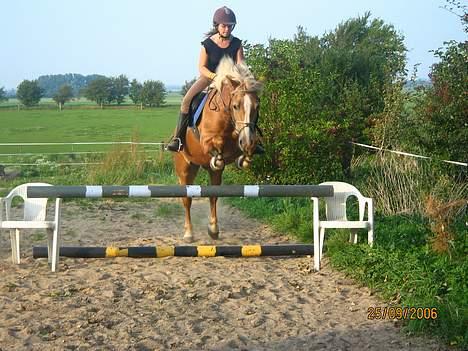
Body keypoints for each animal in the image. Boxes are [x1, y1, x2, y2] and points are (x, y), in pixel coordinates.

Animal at [173, 57, 262, 242]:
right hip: (185, 170)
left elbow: (239, 147)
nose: (247, 141)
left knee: (213, 196)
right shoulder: (206, 140)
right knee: (187, 200)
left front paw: (245, 157)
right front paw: (218, 157)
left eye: (257, 107)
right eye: (235, 106)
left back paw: (213, 229)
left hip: (212, 175)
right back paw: (189, 233)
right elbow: (217, 142)